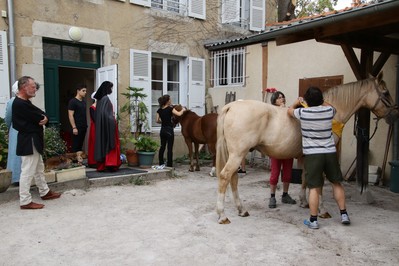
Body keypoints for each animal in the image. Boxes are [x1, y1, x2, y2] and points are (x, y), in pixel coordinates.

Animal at [216, 73, 399, 224]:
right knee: (225, 176)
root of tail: (231, 106)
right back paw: (222, 215)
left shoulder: (305, 156)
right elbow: (319, 183)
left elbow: (305, 178)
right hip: (237, 154)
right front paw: (322, 210)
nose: (394, 115)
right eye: (385, 92)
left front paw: (304, 201)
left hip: (237, 155)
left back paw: (241, 210)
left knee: (233, 178)